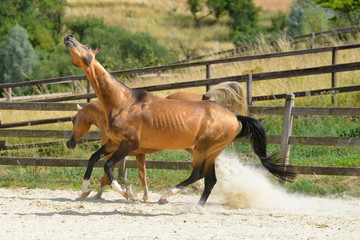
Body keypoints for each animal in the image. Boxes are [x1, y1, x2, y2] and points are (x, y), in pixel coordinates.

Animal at [67, 81, 248, 200]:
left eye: (73, 119)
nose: (69, 143)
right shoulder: (128, 150)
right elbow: (140, 173)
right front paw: (142, 195)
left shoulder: (119, 149)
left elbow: (108, 170)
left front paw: (113, 193)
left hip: (196, 148)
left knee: (205, 170)